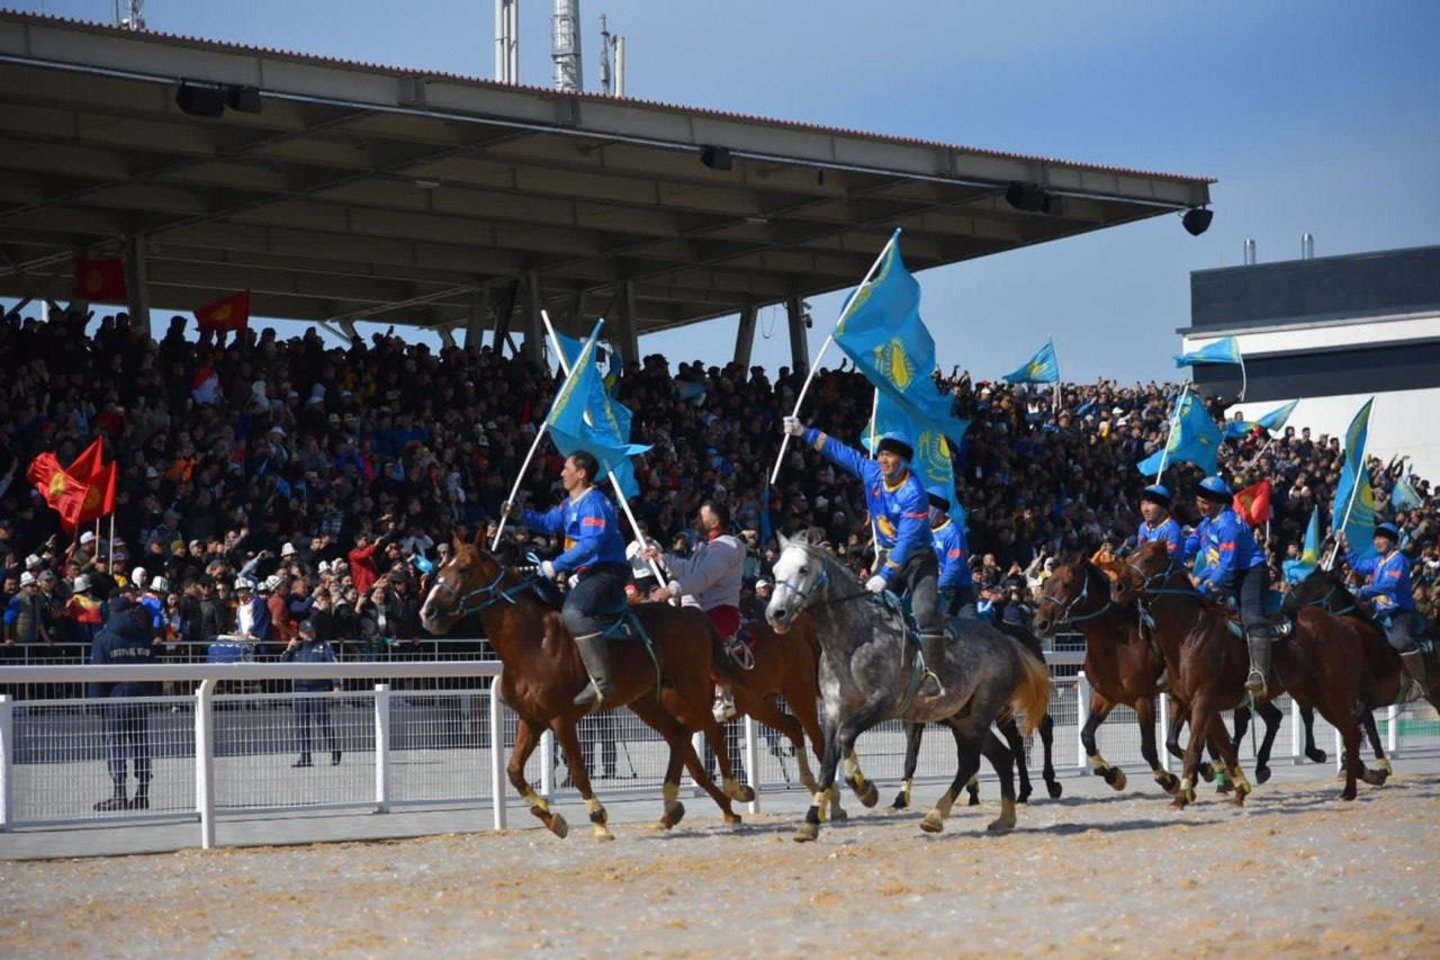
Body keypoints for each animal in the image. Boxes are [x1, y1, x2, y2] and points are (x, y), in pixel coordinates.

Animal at [420, 541, 748, 840]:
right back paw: (687, 808)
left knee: (711, 728)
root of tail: (695, 616)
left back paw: (734, 789)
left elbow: (578, 770)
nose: (428, 613)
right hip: (645, 701)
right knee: (679, 735)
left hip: (688, 688)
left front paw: (598, 819)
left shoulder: (561, 719)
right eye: (440, 568)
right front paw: (550, 816)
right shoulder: (531, 718)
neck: (535, 643)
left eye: (463, 569)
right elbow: (513, 771)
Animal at [766, 532, 1048, 840]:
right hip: (963, 718)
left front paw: (866, 790)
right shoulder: (832, 710)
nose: (776, 613)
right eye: (775, 570)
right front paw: (810, 821)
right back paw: (1004, 819)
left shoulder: (883, 704)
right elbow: (828, 763)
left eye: (803, 569)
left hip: (981, 713)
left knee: (971, 762)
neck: (855, 640)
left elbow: (847, 737)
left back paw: (936, 816)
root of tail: (1007, 640)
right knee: (1002, 757)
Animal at [1111, 541, 1382, 805]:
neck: (1191, 632)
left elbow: (1196, 746)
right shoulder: (1193, 702)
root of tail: (1345, 625)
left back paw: (1351, 786)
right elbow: (1222, 747)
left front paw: (1184, 792)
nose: (1118, 587)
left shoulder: (1203, 701)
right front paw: (1237, 788)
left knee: (1350, 732)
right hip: (1316, 695)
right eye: (1128, 557)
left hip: (1335, 693)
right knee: (1347, 730)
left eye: (1147, 559)